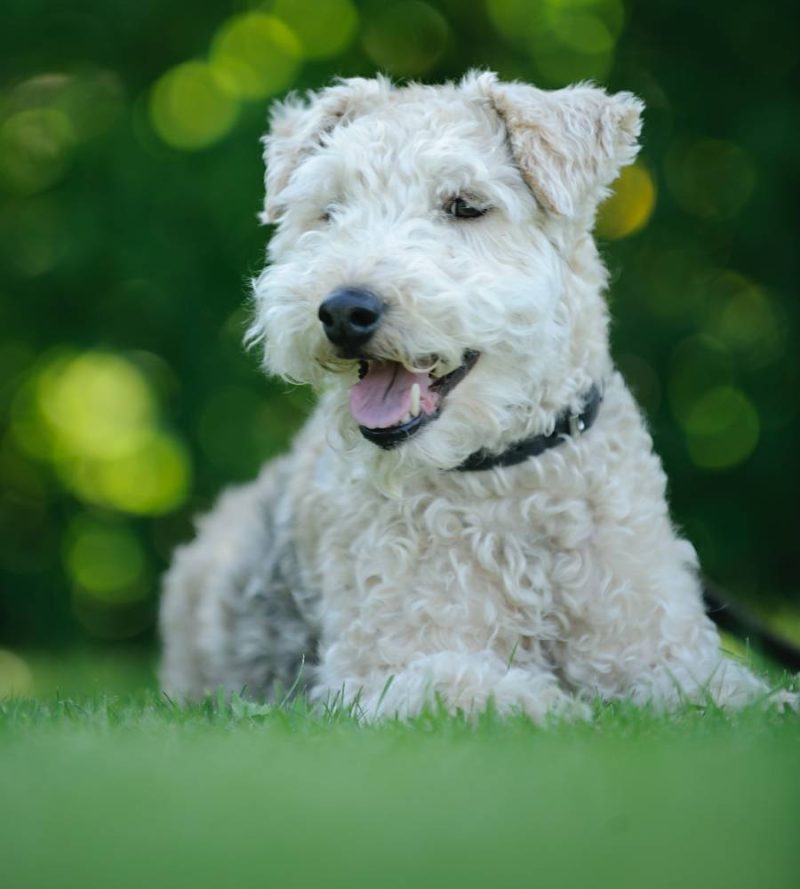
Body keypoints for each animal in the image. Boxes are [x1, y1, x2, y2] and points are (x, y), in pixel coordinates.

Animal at [159, 73, 792, 720]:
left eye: (466, 205)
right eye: (329, 211)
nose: (343, 310)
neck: (509, 478)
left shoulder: (658, 645)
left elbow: (723, 689)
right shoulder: (380, 670)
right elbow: (480, 687)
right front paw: (563, 709)